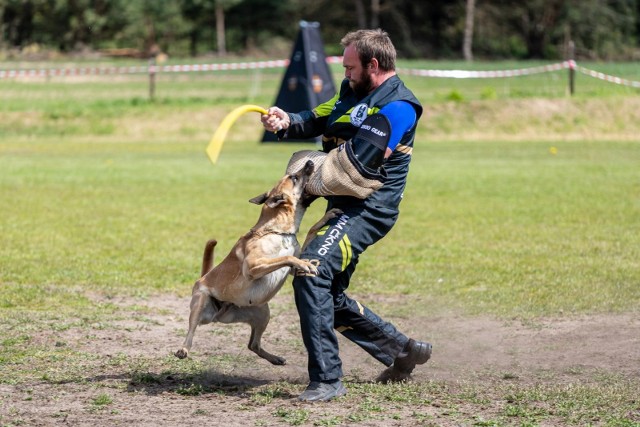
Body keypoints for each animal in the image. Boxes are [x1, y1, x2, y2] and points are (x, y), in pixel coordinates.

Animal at [175, 160, 342, 364]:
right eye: (294, 177)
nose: (310, 162)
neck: (277, 231)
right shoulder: (253, 266)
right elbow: (287, 257)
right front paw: (306, 264)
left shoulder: (289, 265)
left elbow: (307, 234)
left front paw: (326, 217)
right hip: (200, 304)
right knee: (191, 331)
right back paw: (183, 349)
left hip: (262, 313)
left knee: (253, 345)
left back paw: (275, 358)